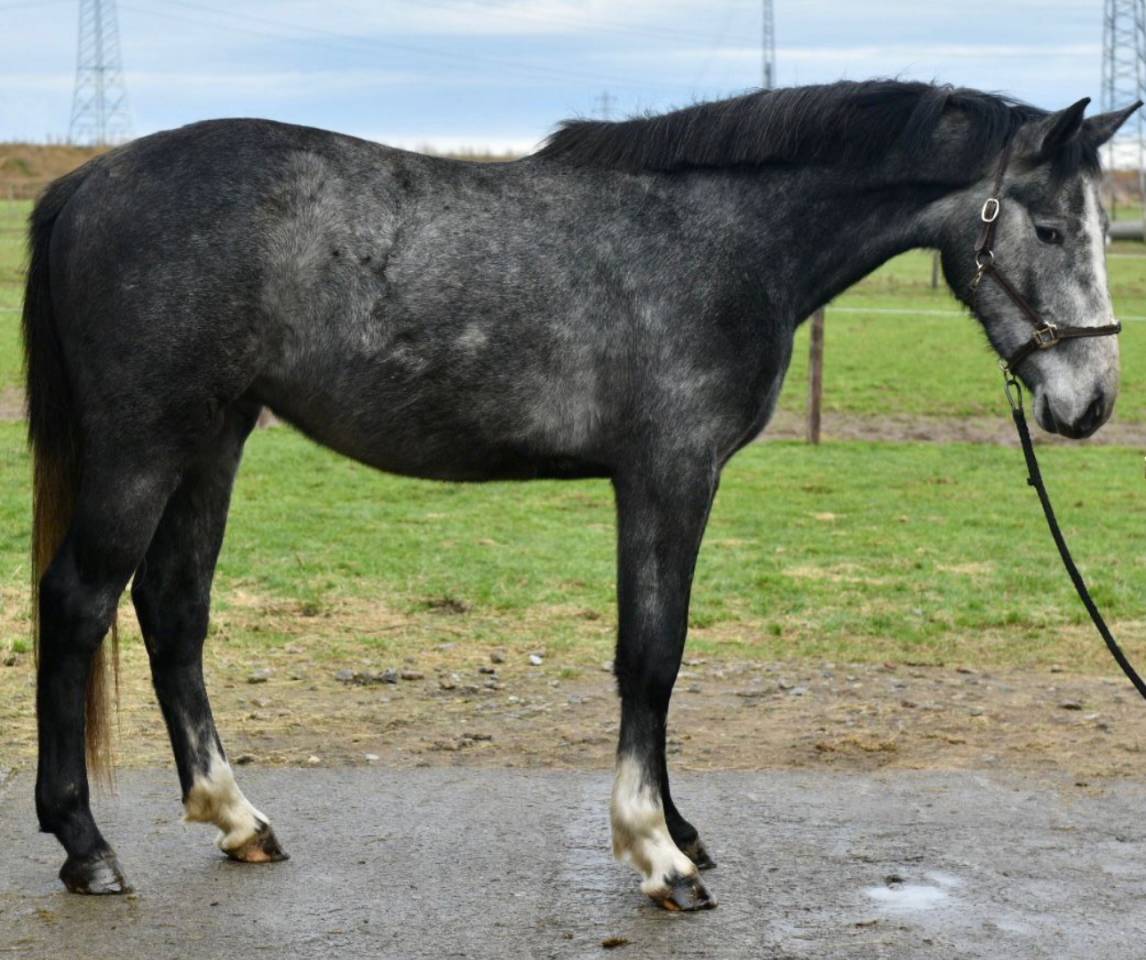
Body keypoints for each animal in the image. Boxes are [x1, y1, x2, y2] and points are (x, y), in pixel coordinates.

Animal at [22, 80, 1136, 911]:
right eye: (1048, 227)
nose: (1090, 404)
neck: (720, 241)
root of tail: (89, 181)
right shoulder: (669, 475)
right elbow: (653, 655)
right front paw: (659, 854)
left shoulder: (664, 483)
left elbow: (655, 660)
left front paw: (678, 828)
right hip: (146, 447)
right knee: (77, 604)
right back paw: (85, 848)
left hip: (213, 442)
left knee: (173, 611)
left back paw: (237, 817)